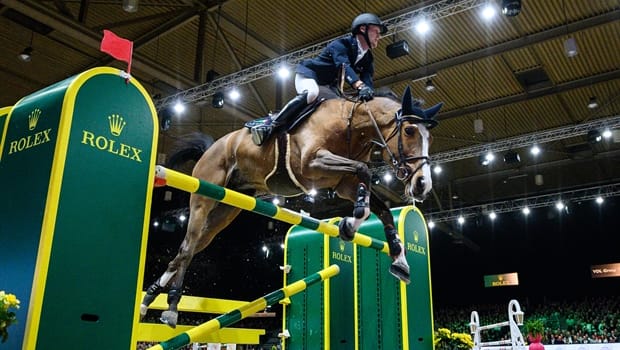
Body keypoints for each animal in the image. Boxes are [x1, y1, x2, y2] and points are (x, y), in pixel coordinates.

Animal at [140, 86, 440, 326]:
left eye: (430, 137)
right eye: (410, 131)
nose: (422, 185)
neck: (351, 125)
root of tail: (212, 147)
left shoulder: (344, 183)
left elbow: (381, 207)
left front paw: (400, 261)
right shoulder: (312, 164)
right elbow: (364, 172)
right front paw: (349, 224)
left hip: (224, 212)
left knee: (187, 249)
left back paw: (149, 298)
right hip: (204, 199)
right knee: (188, 247)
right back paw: (171, 307)